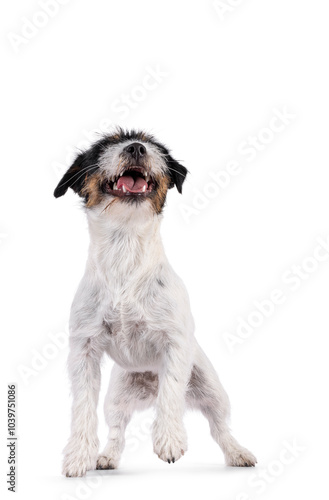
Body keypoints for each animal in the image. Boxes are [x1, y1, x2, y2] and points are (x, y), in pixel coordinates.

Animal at [53, 128, 255, 476]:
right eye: (103, 147)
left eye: (154, 146)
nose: (136, 148)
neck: (125, 249)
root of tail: (148, 378)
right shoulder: (84, 349)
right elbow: (82, 406)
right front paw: (79, 455)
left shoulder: (174, 342)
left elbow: (172, 391)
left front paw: (169, 438)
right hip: (116, 398)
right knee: (116, 430)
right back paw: (106, 457)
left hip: (212, 390)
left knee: (219, 426)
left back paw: (237, 453)